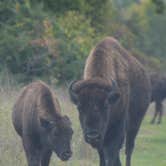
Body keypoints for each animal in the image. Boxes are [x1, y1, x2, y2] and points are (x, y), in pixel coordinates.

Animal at [68, 37, 150, 166]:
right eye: (79, 107)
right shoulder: (102, 137)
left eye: (106, 105)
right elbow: (102, 154)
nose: (92, 136)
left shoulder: (117, 129)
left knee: (129, 149)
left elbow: (111, 153)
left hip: (135, 124)